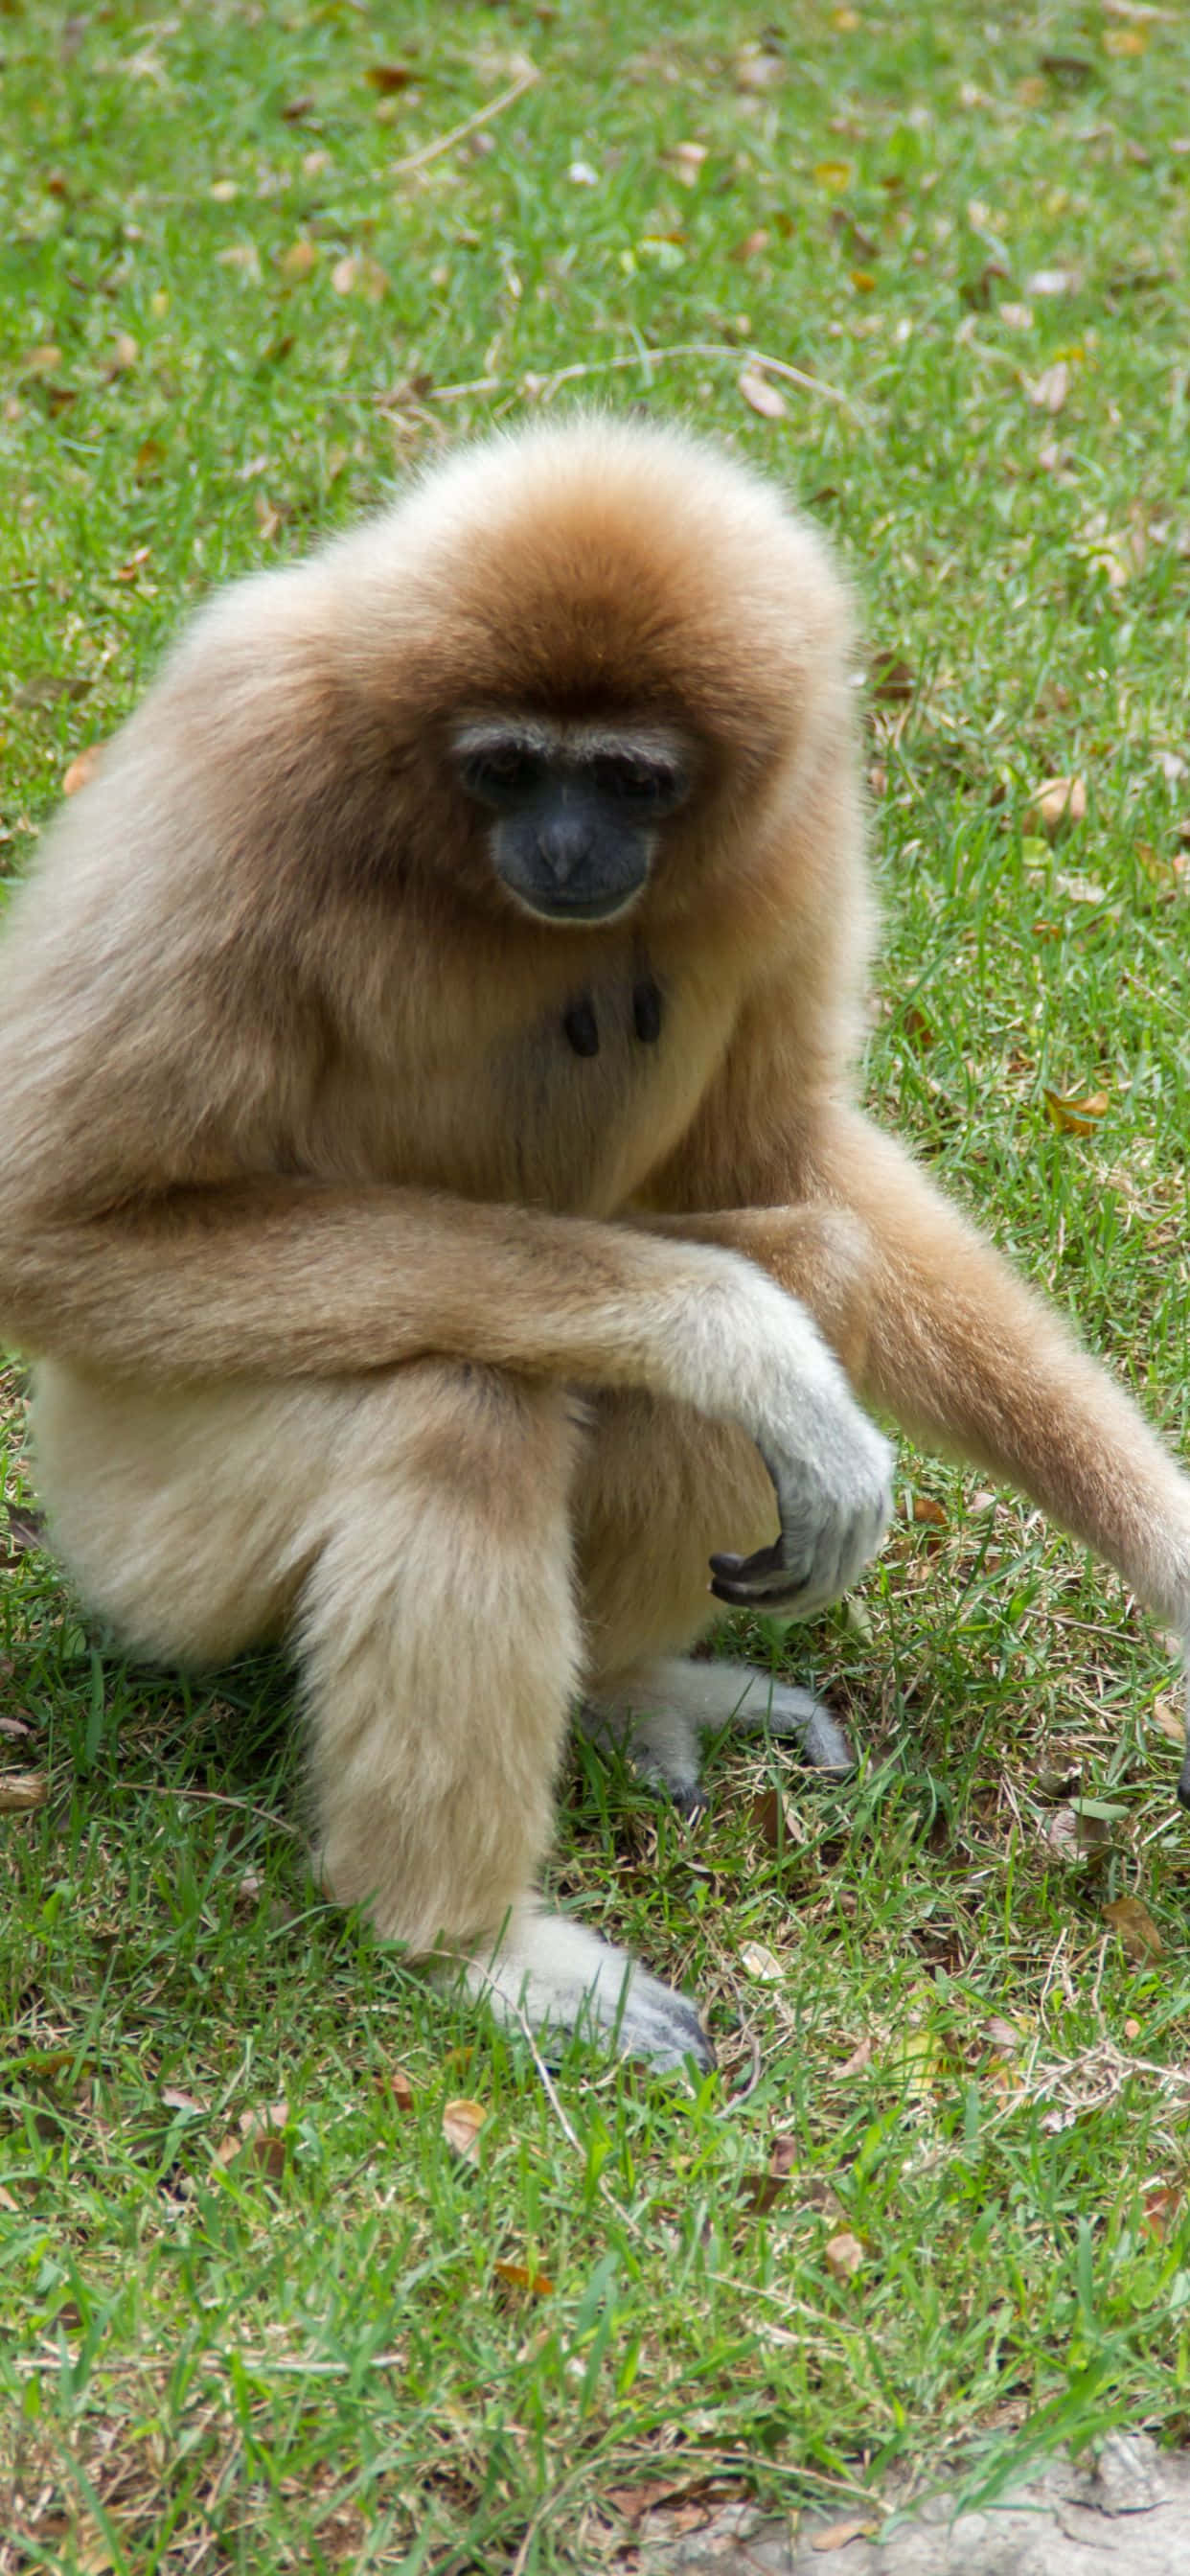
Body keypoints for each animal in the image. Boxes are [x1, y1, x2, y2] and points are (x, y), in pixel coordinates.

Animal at [0, 414, 1188, 2076]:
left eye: (628, 778)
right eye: (507, 766)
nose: (564, 842)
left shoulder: (803, 807)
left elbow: (791, 1159)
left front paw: (1164, 1546)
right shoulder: (241, 752)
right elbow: (60, 1226)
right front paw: (730, 1336)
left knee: (806, 1257)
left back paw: (630, 1686)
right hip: (144, 1526)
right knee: (463, 1405)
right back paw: (468, 1948)